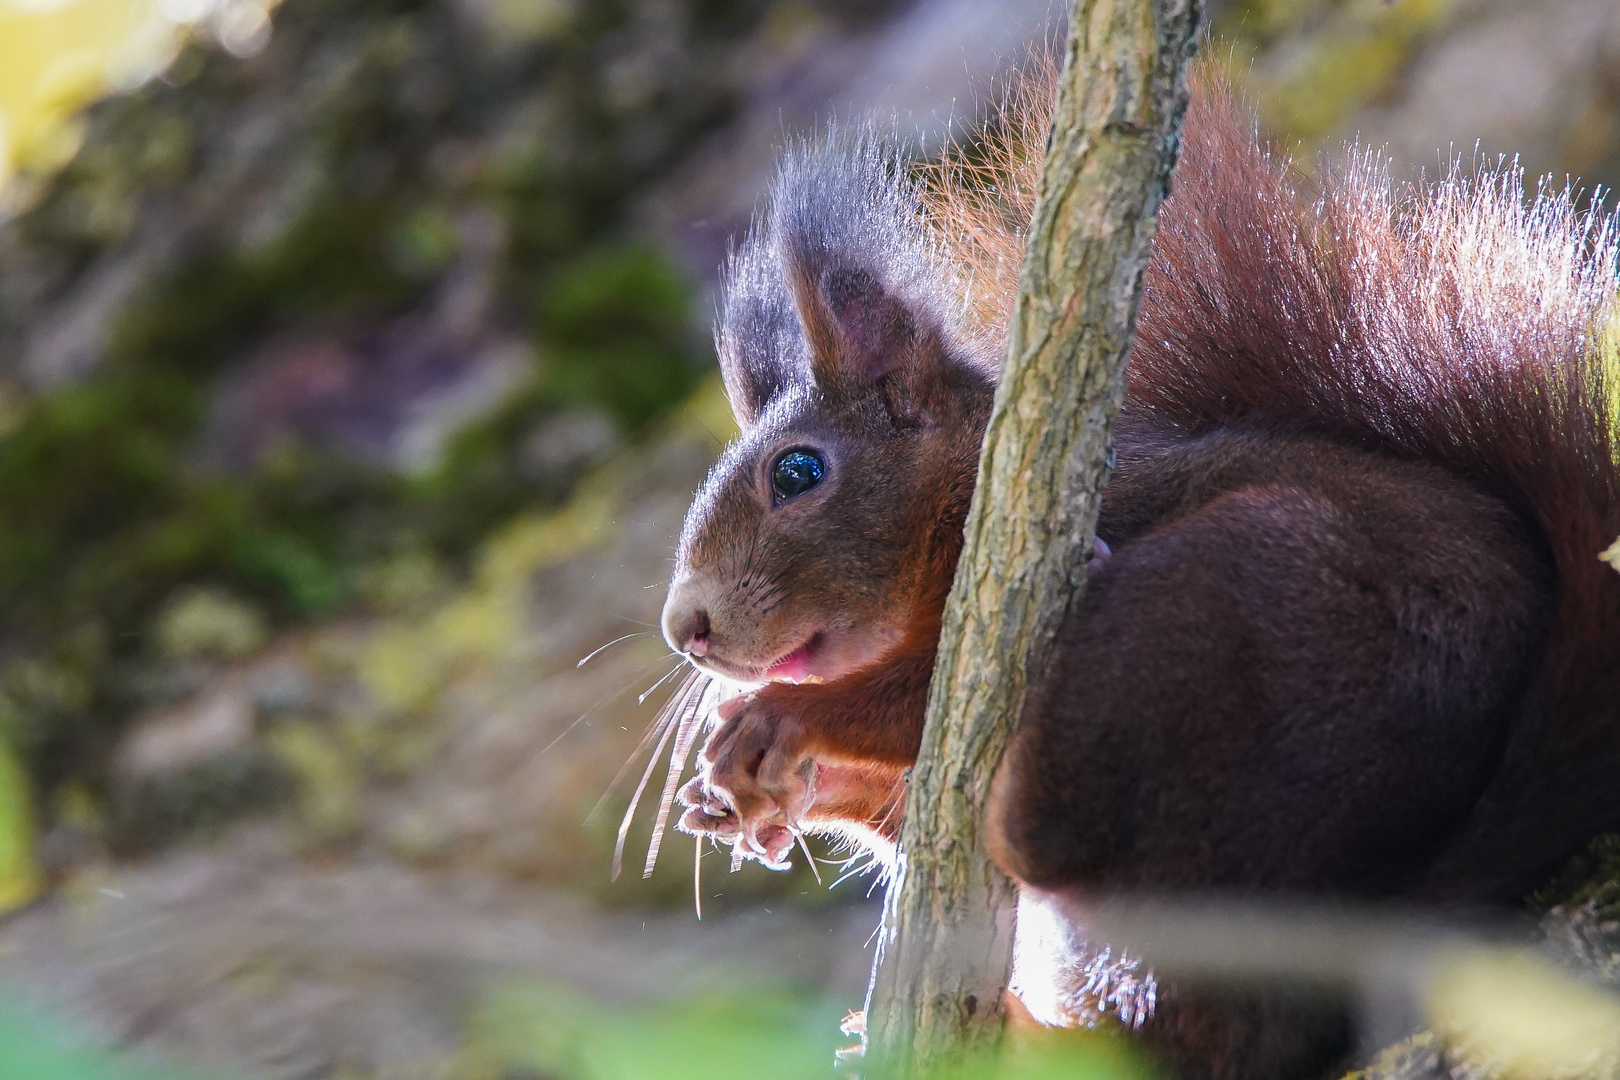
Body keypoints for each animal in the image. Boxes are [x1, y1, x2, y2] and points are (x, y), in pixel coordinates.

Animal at [654, 59, 1620, 1080]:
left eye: (798, 473)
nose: (687, 630)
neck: (958, 510)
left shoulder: (1043, 566)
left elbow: (926, 699)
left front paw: (778, 725)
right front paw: (747, 797)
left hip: (1229, 619)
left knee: (1041, 836)